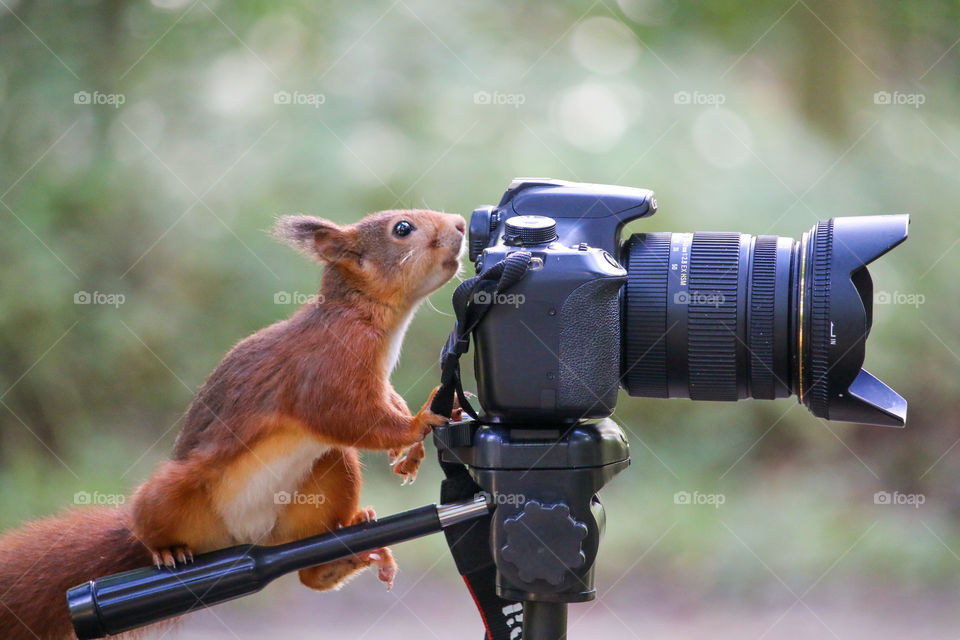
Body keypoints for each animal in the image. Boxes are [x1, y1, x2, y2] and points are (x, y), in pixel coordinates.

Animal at [0, 210, 464, 640]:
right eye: (402, 229)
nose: (461, 223)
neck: (368, 316)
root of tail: (246, 537)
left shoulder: (375, 381)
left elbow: (387, 401)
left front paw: (410, 446)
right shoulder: (325, 369)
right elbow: (346, 415)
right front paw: (418, 423)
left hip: (326, 478)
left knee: (307, 573)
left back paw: (346, 548)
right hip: (174, 491)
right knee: (149, 522)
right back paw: (166, 551)